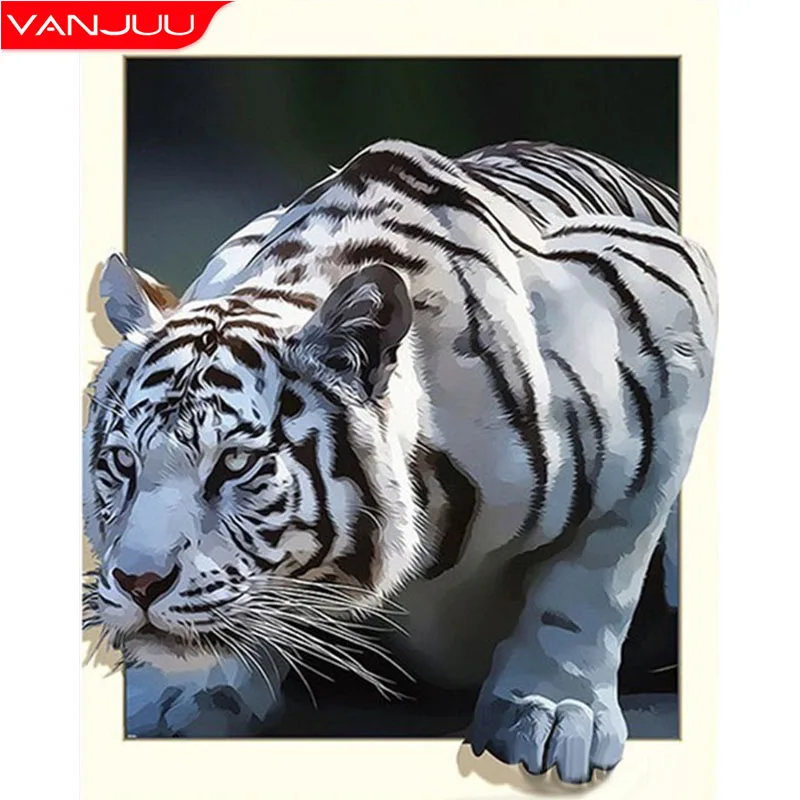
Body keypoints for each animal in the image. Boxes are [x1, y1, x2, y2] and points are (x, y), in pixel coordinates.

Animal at [82, 138, 716, 784]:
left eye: (234, 463)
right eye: (123, 462)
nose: (138, 584)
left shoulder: (669, 321)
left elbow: (592, 579)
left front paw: (553, 711)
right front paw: (180, 691)